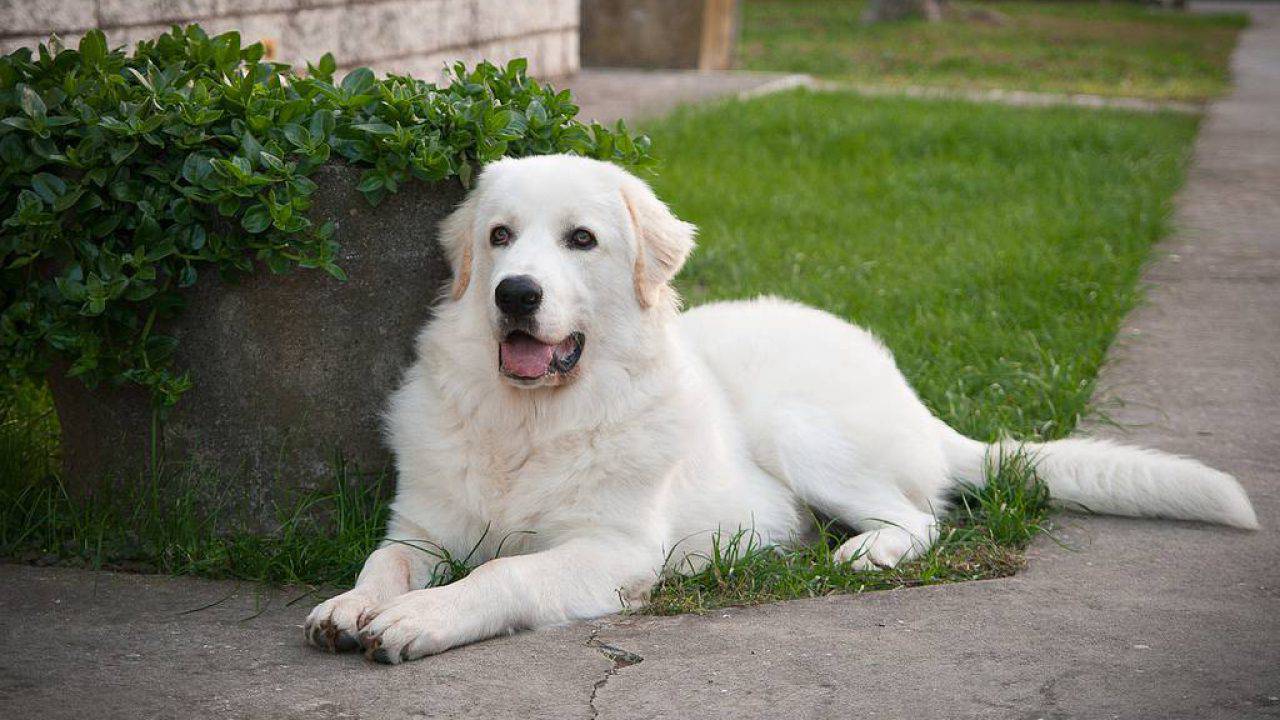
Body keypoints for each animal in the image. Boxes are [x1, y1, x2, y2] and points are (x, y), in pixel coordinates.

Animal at [307, 152, 1259, 661]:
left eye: (581, 240)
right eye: (499, 236)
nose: (514, 294)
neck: (529, 421)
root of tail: (912, 398)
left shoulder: (610, 551)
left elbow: (503, 574)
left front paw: (419, 621)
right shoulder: (422, 529)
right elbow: (383, 563)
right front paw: (352, 607)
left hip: (803, 430)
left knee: (920, 517)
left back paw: (860, 555)